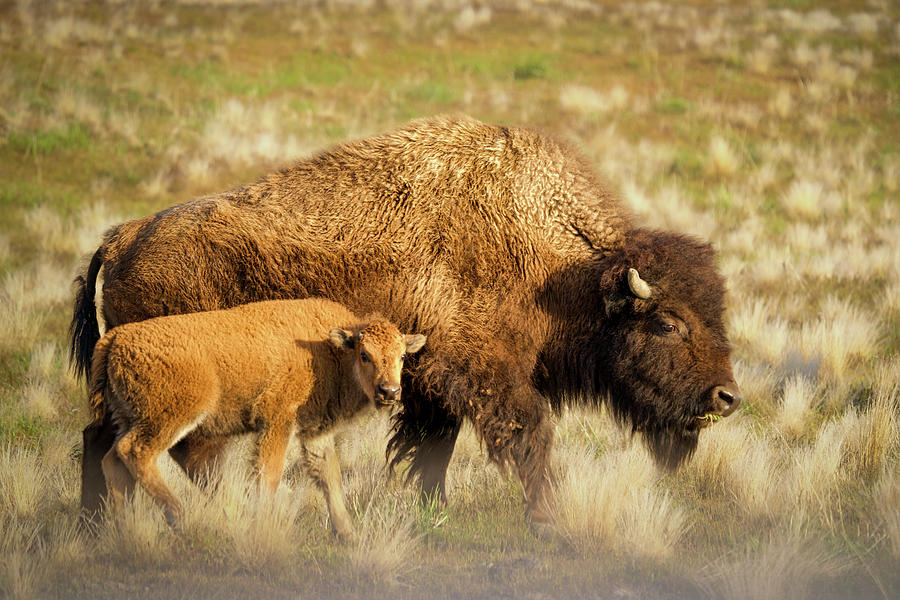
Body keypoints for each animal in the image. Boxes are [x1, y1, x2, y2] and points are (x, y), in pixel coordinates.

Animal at [91, 298, 426, 536]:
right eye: (364, 354)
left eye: (402, 356)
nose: (389, 390)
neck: (329, 349)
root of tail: (116, 337)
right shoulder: (278, 420)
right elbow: (270, 474)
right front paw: (262, 525)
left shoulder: (314, 434)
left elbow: (329, 476)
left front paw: (348, 534)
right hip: (170, 417)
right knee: (135, 452)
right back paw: (179, 517)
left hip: (130, 418)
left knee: (113, 460)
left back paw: (123, 529)